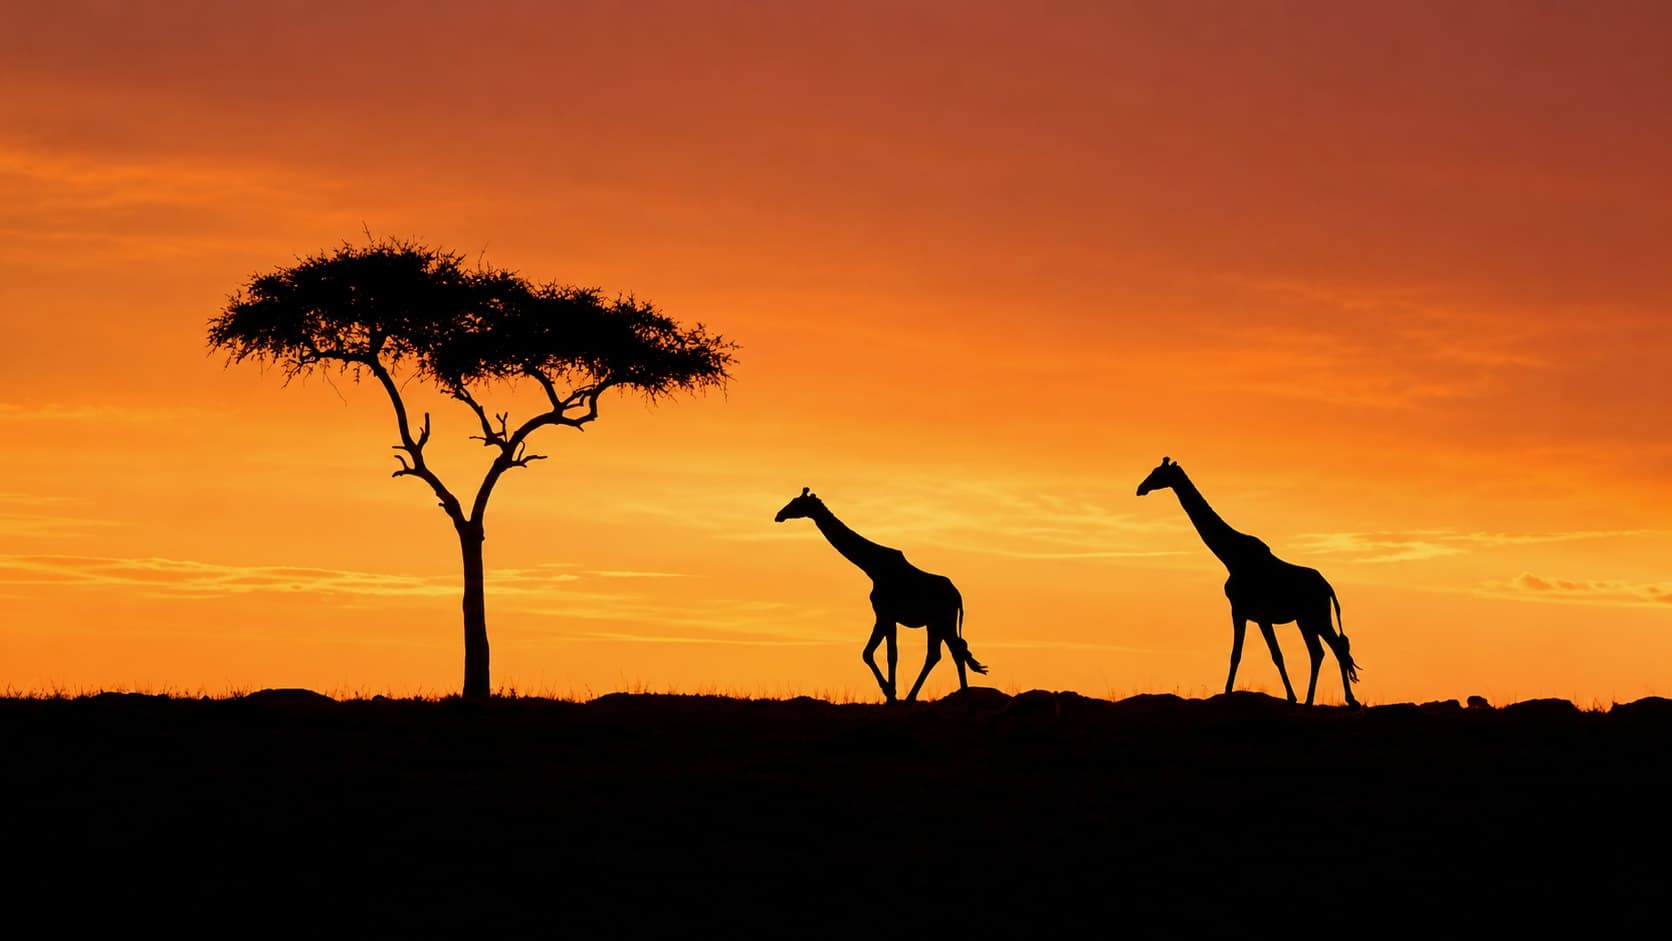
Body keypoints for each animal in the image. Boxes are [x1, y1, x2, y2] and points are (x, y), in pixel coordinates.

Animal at [774, 487, 988, 702]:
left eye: (797, 503)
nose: (779, 515)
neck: (873, 567)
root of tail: (958, 595)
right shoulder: (884, 615)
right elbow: (875, 653)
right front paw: (890, 693)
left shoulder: (885, 614)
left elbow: (885, 654)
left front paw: (890, 693)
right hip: (936, 623)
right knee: (943, 653)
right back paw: (929, 696)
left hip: (944, 620)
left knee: (952, 651)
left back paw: (955, 696)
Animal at [1135, 457, 1361, 708]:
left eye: (1158, 473)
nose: (1140, 488)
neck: (1230, 556)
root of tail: (1328, 587)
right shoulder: (1249, 613)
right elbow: (1251, 654)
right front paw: (1289, 697)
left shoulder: (1247, 612)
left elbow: (1260, 655)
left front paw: (1283, 697)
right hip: (1306, 620)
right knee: (1322, 651)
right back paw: (1320, 700)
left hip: (1316, 616)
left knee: (1333, 648)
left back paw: (1339, 700)